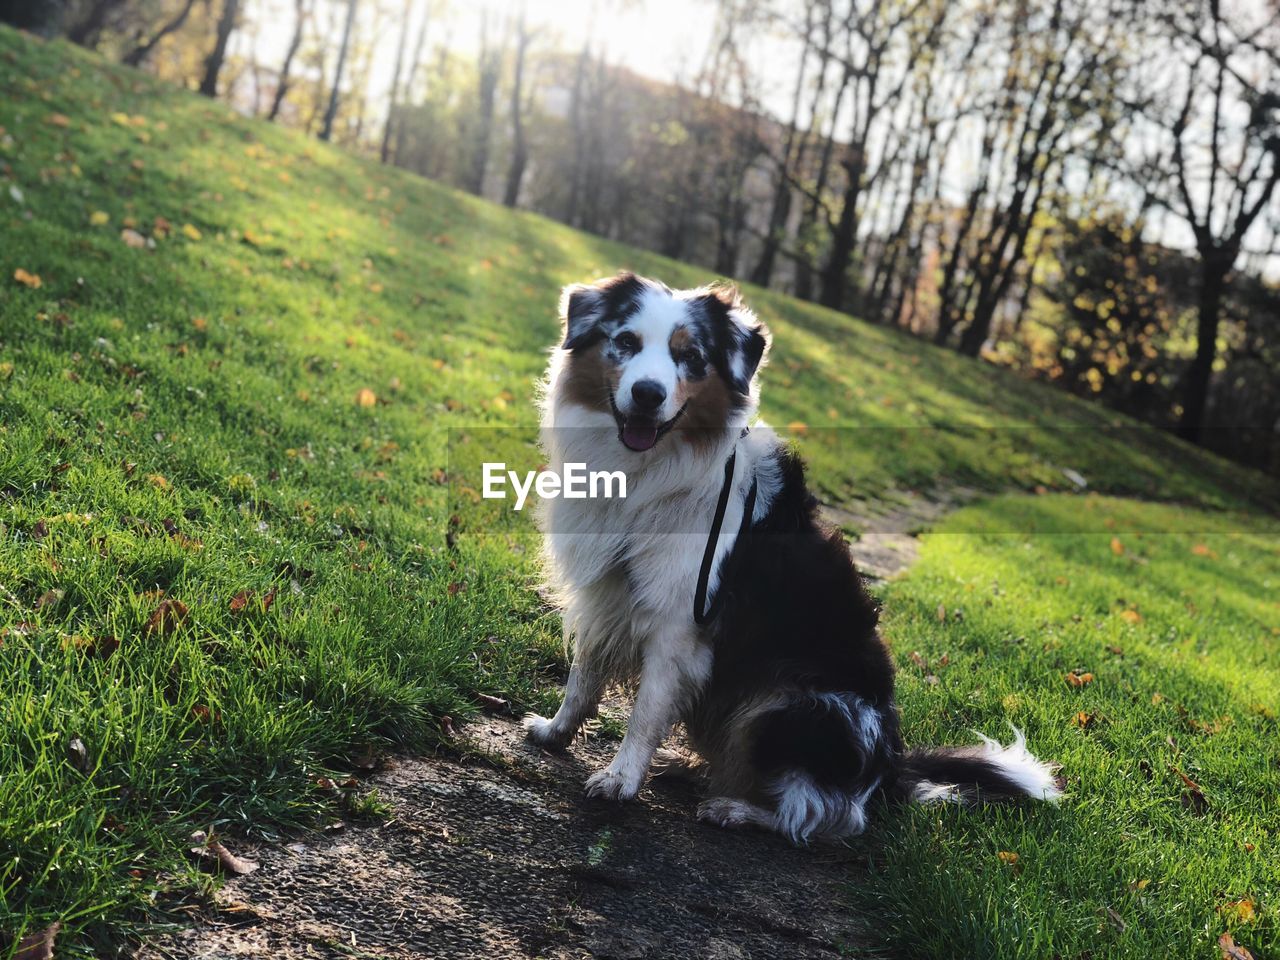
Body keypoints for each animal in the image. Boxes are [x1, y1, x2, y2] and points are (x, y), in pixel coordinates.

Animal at [519, 271, 1059, 839]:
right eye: (625, 341)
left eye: (690, 357)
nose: (648, 394)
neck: (646, 472)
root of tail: (887, 769)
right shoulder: (607, 593)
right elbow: (583, 679)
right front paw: (555, 732)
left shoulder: (679, 626)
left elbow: (645, 713)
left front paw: (621, 780)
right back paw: (691, 768)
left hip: (792, 707)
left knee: (825, 815)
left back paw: (736, 809)